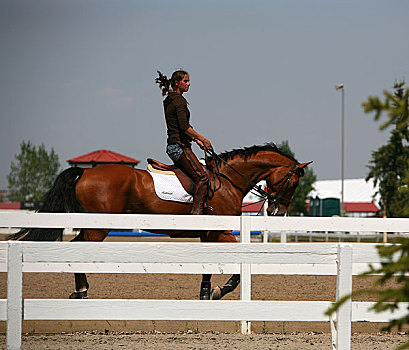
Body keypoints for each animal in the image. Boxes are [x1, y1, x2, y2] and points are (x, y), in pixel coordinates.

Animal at [8, 144, 310, 300]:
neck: (227, 180)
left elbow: (208, 263)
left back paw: (79, 290)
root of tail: (85, 173)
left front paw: (205, 292)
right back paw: (81, 290)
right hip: (98, 227)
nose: (278, 210)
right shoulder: (222, 230)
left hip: (93, 227)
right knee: (81, 249)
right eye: (294, 182)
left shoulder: (209, 232)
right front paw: (221, 289)